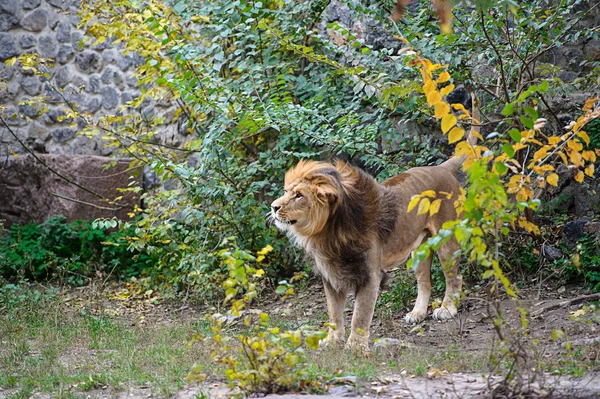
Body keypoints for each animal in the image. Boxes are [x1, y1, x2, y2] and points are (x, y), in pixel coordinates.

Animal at [270, 156, 468, 350]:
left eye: (299, 195)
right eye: (286, 191)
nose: (273, 207)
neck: (327, 233)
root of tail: (441, 168)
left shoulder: (369, 275)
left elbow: (360, 315)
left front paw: (355, 347)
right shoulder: (331, 275)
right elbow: (334, 313)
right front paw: (332, 341)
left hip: (446, 242)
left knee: (455, 278)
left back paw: (447, 309)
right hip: (419, 250)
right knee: (425, 282)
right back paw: (417, 313)